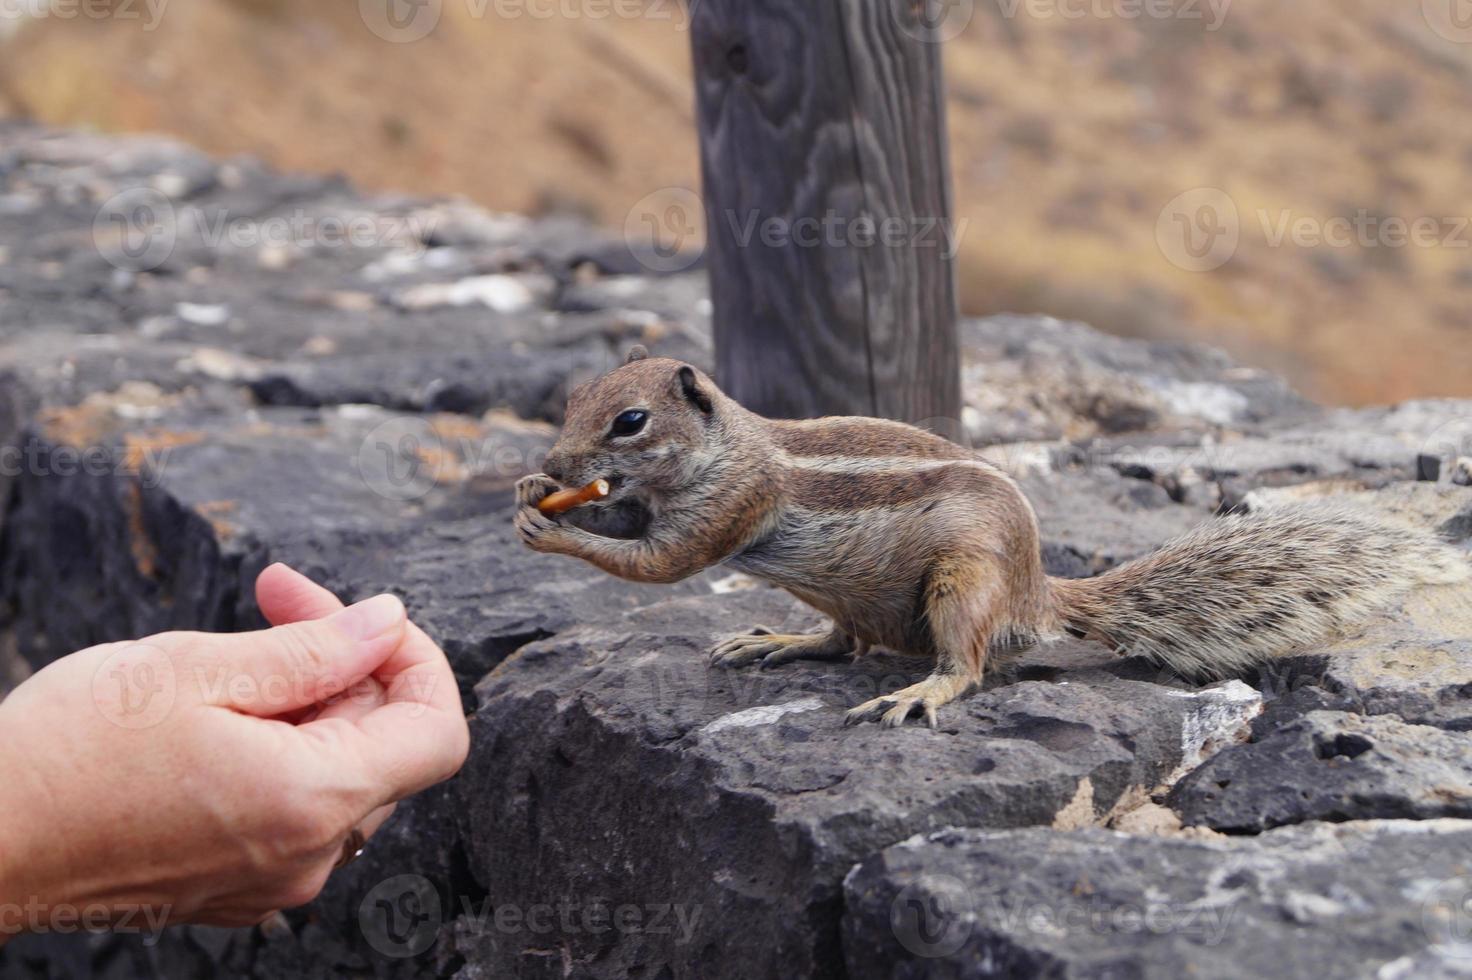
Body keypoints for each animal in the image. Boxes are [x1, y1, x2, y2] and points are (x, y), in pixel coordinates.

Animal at [512, 345, 1466, 723]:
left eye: (630, 420)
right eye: (573, 399)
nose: (553, 458)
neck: (725, 447)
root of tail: (1039, 590)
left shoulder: (730, 509)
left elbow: (662, 563)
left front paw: (549, 528)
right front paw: (536, 490)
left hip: (961, 583)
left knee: (964, 664)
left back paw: (919, 691)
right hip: (852, 592)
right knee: (842, 641)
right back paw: (779, 640)